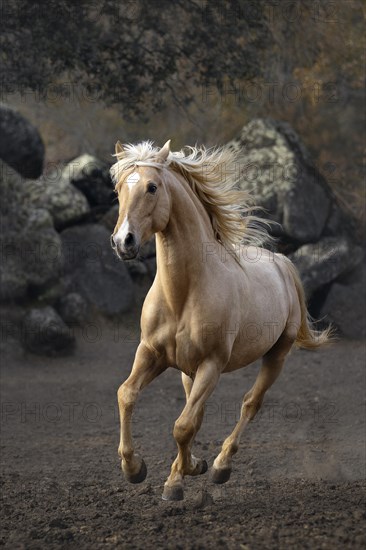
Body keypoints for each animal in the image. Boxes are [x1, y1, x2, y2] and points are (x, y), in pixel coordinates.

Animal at [109, 140, 332, 502]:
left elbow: (182, 425)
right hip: (187, 371)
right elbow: (127, 395)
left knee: (250, 404)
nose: (122, 242)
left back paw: (219, 466)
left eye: (152, 187)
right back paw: (194, 465)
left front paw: (174, 485)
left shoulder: (212, 365)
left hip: (276, 356)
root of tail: (282, 263)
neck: (183, 293)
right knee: (196, 411)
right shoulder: (151, 354)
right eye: (117, 190)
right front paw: (135, 469)